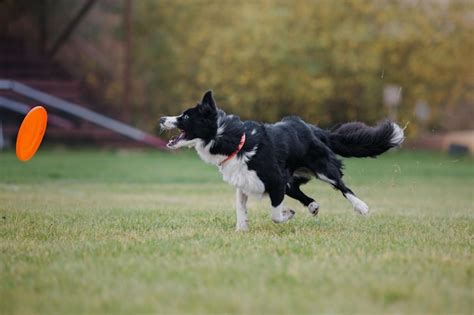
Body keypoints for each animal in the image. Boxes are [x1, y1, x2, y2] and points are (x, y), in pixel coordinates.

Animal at [160, 90, 404, 231]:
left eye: (186, 116)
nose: (162, 118)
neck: (231, 139)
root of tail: (311, 128)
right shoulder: (245, 182)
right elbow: (240, 207)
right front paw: (241, 228)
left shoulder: (275, 181)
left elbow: (275, 215)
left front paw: (288, 214)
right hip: (291, 178)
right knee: (301, 192)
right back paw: (313, 206)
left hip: (322, 168)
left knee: (342, 185)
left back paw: (361, 207)